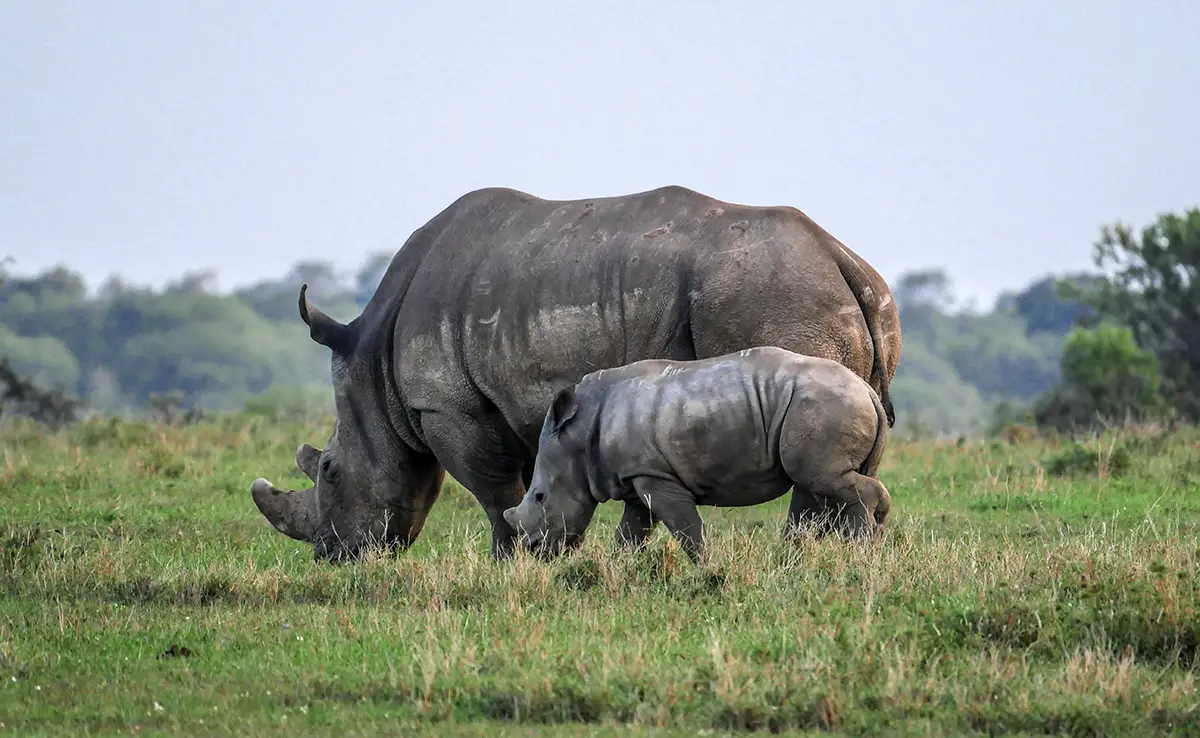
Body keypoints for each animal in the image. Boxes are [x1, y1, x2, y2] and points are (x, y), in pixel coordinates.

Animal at [499, 345, 892, 559]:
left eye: (540, 496)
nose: (533, 550)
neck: (579, 434)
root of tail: (867, 390)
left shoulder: (656, 476)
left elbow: (686, 527)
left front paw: (706, 567)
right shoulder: (639, 476)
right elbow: (630, 534)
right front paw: (618, 569)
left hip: (824, 406)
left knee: (822, 479)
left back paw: (860, 551)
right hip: (829, 405)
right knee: (825, 486)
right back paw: (864, 543)